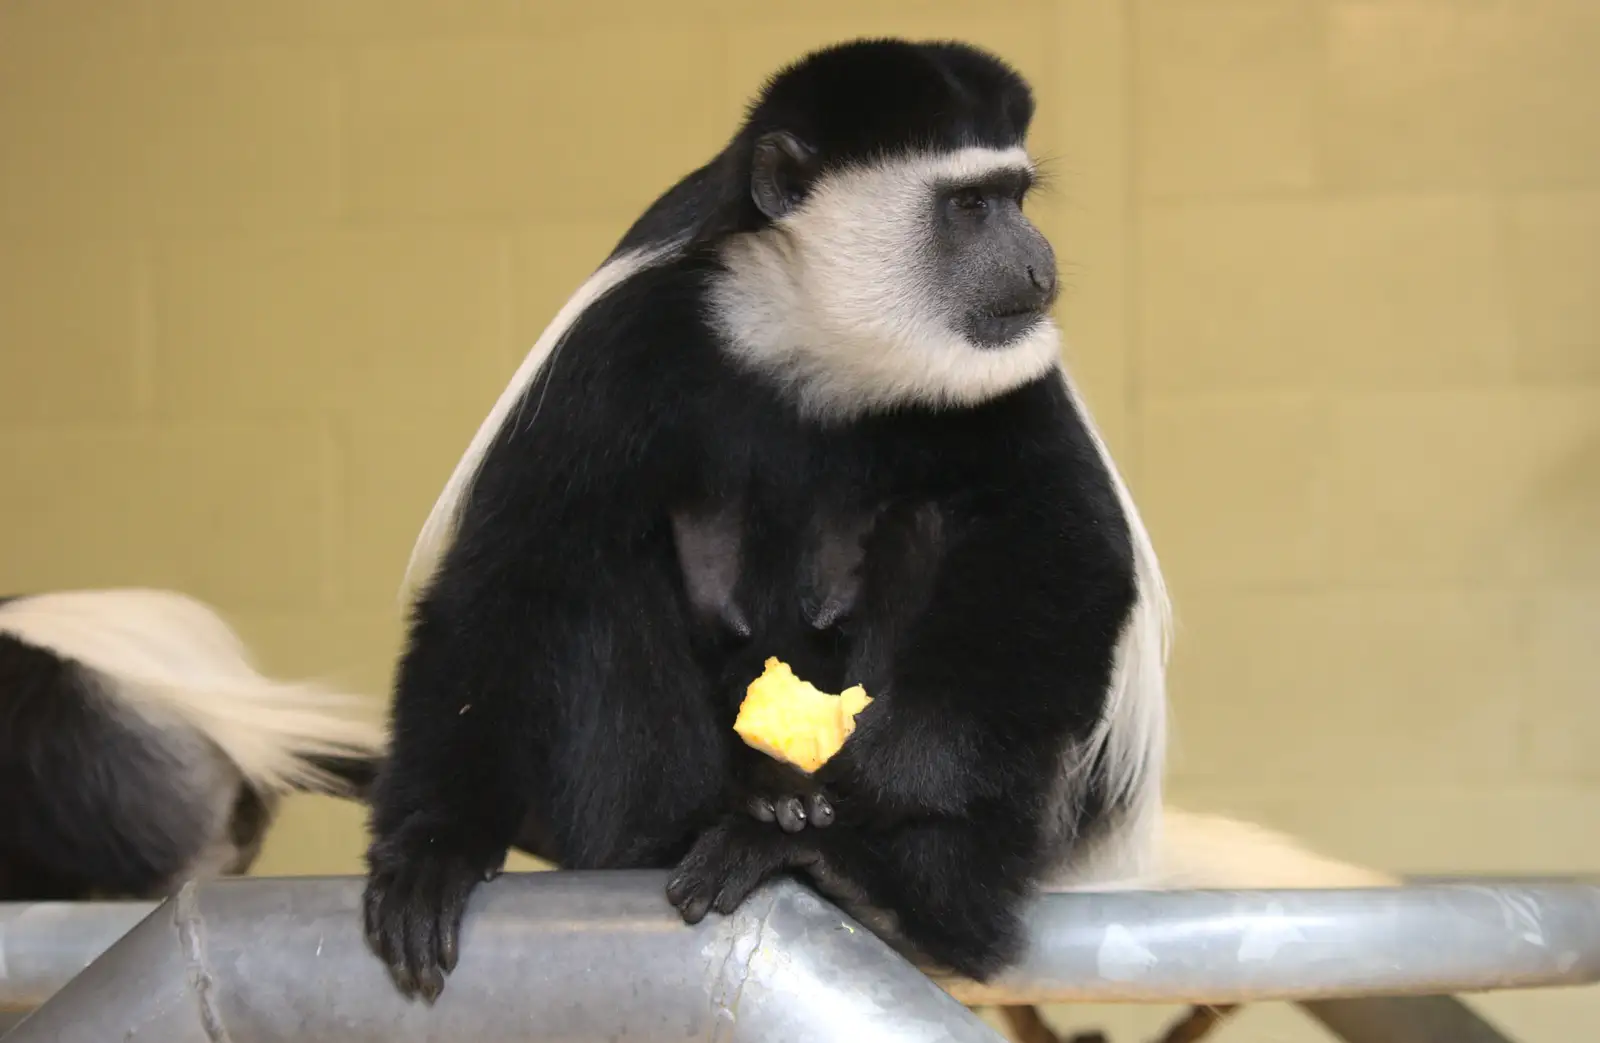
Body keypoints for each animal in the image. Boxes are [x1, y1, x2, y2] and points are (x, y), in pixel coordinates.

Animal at [356, 38, 1382, 1004]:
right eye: (970, 207)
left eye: (1018, 195)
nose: (1039, 257)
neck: (807, 342)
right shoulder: (617, 346)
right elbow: (507, 577)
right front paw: (435, 848)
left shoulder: (1011, 373)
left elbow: (1066, 553)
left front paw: (852, 792)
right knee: (595, 570)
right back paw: (685, 831)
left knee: (958, 562)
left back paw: (876, 881)